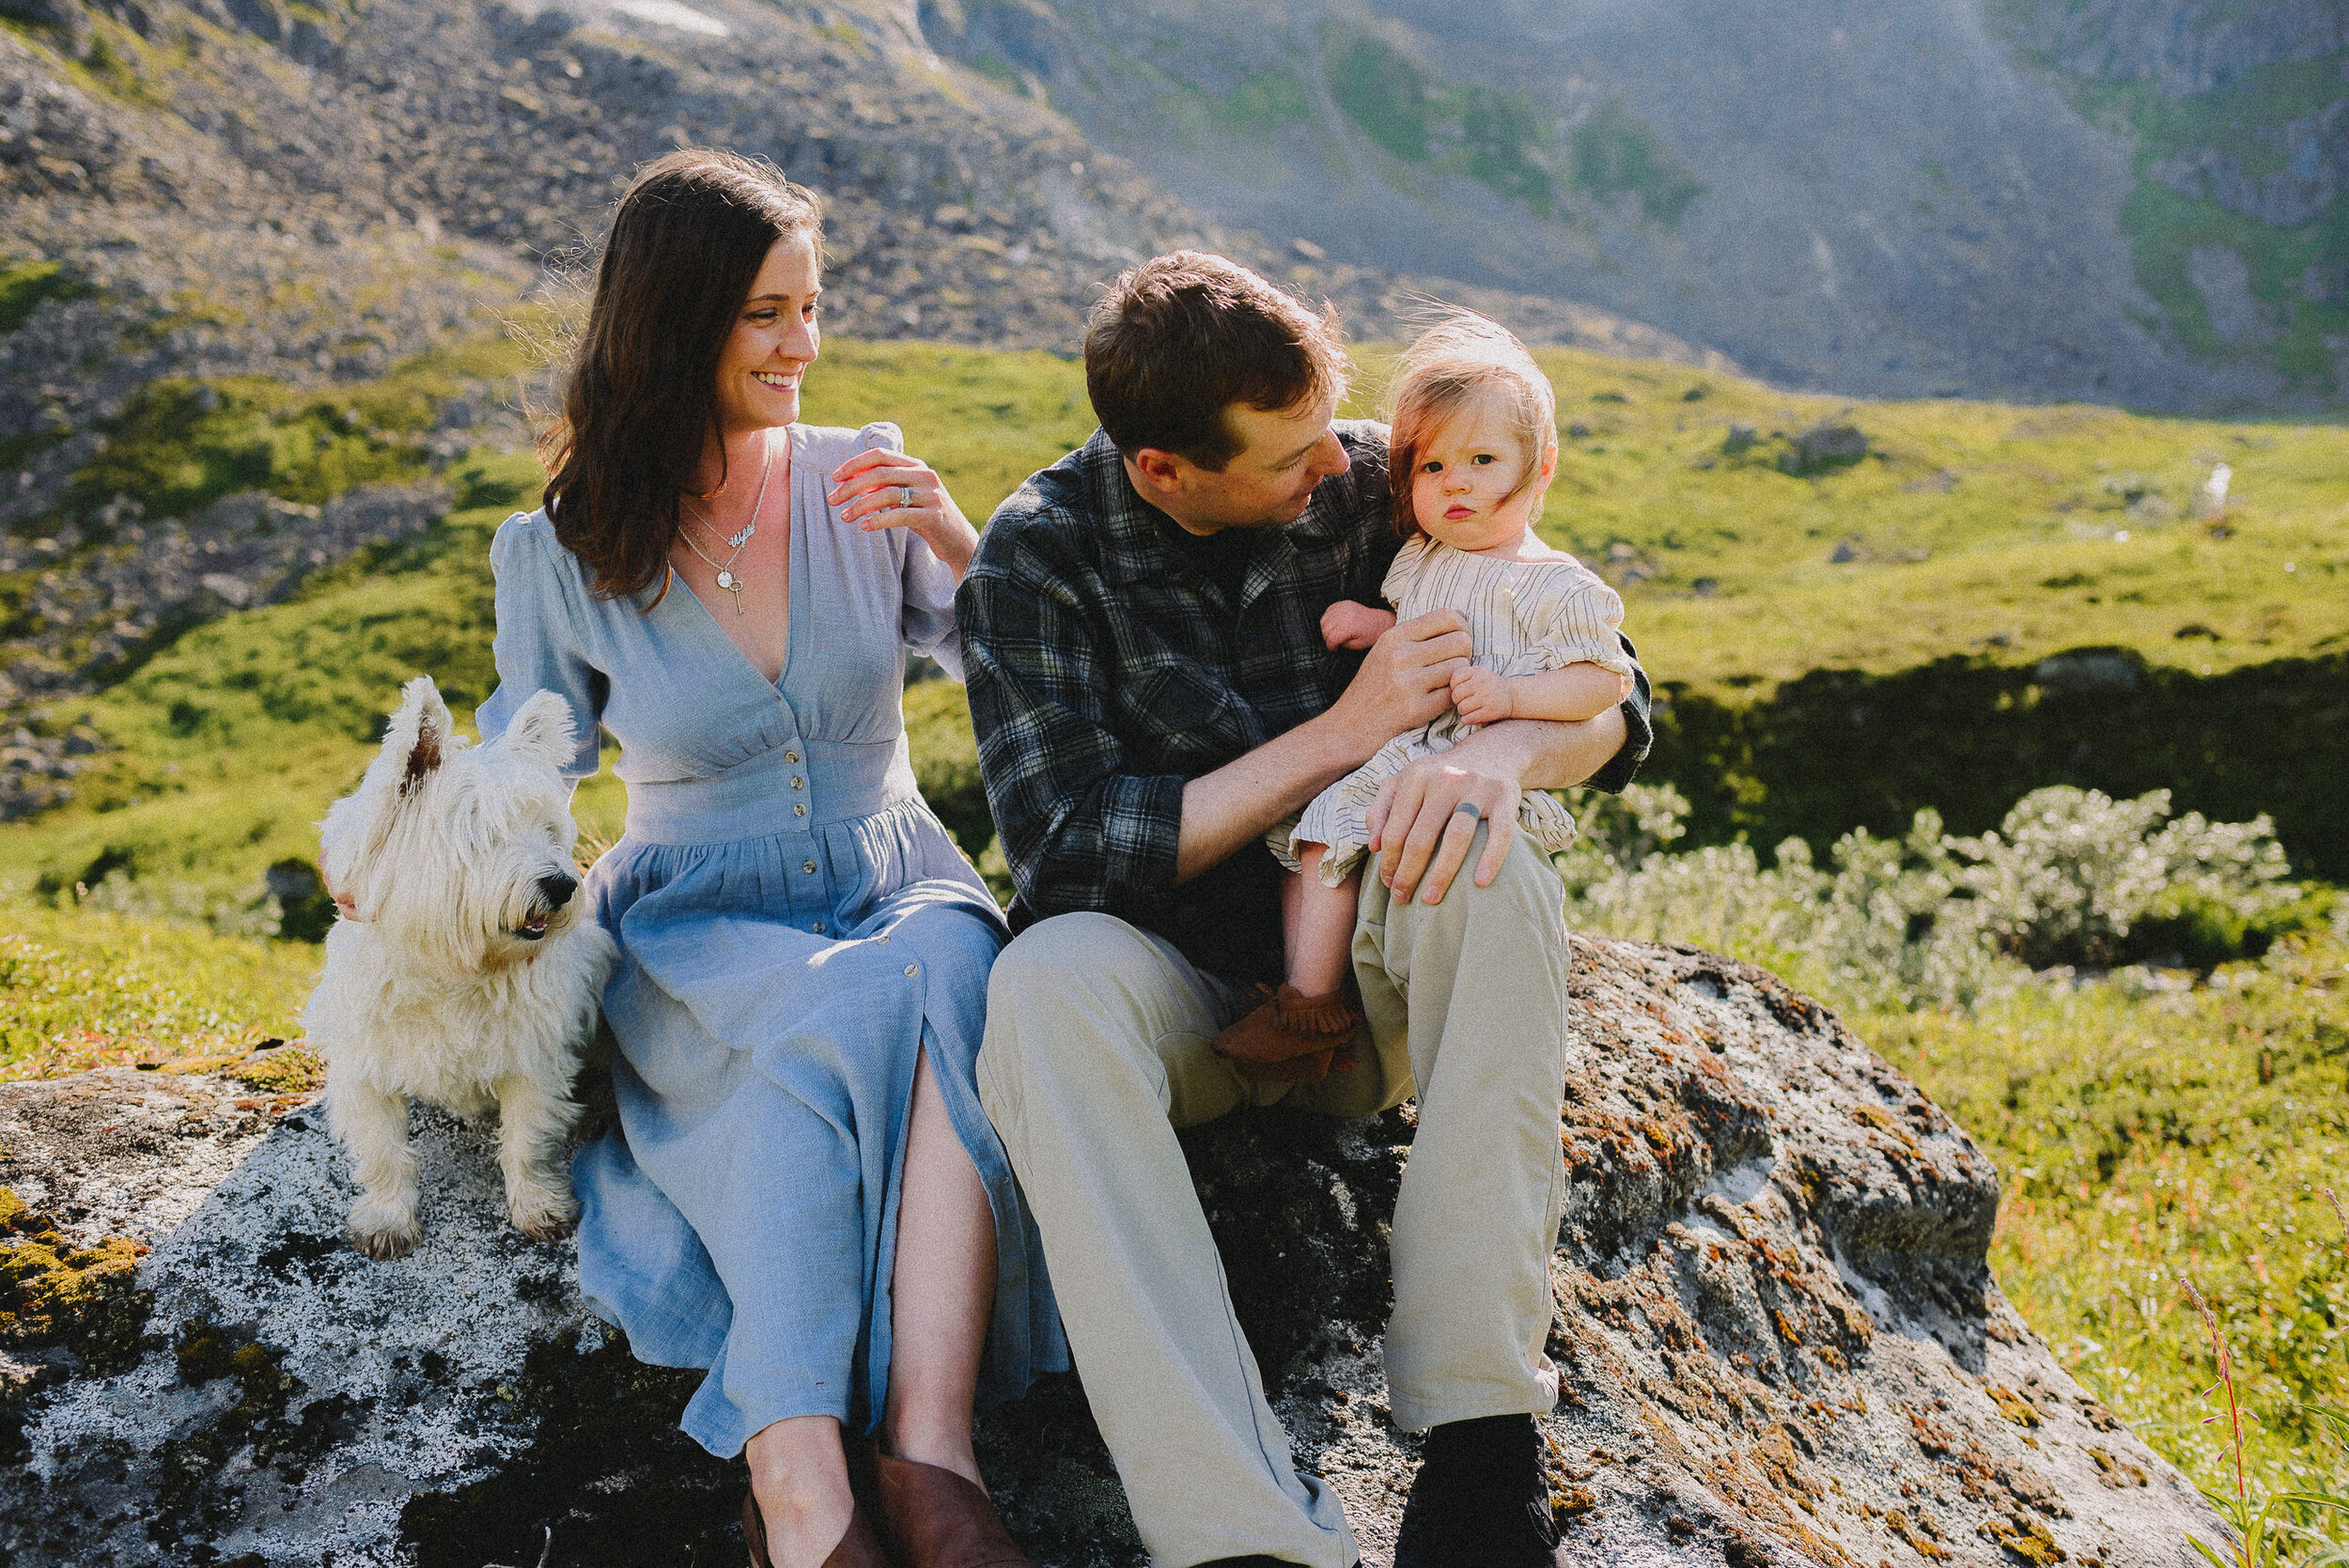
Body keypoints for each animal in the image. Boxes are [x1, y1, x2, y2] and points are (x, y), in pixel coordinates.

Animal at [317, 675, 620, 1258]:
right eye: (485, 833)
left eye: (549, 831)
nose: (564, 885)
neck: (454, 970)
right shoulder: (365, 1064)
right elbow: (383, 1150)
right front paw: (388, 1218)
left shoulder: (533, 1058)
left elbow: (527, 1139)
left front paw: (538, 1207)